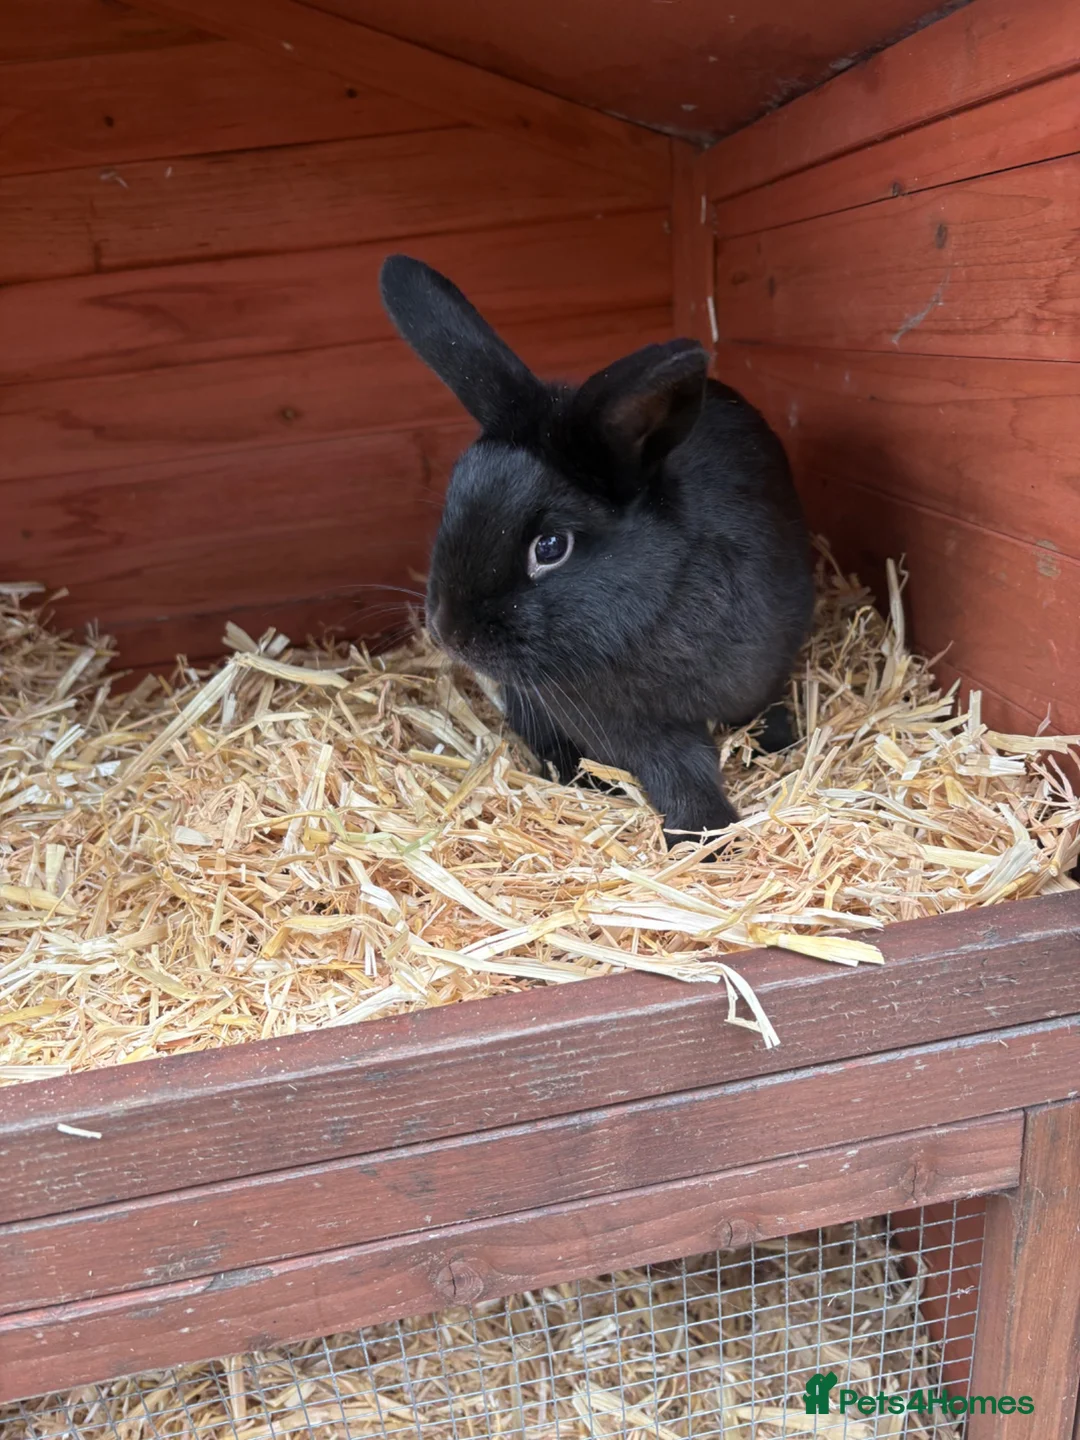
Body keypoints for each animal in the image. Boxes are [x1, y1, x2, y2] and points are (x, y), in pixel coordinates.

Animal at [379, 254, 815, 848]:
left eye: (551, 547)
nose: (447, 631)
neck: (660, 604)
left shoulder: (767, 669)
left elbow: (763, 713)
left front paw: (778, 751)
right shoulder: (626, 727)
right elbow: (678, 770)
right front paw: (704, 834)